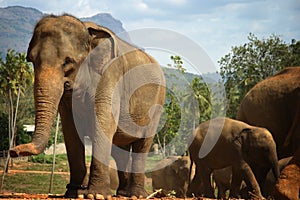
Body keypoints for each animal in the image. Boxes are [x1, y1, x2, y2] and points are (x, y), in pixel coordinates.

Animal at [8, 14, 166, 199]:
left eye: (67, 61)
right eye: (31, 60)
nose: (14, 151)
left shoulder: (109, 76)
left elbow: (104, 123)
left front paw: (95, 195)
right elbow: (71, 131)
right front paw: (74, 192)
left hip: (157, 103)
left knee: (142, 145)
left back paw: (136, 195)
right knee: (120, 150)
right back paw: (122, 193)